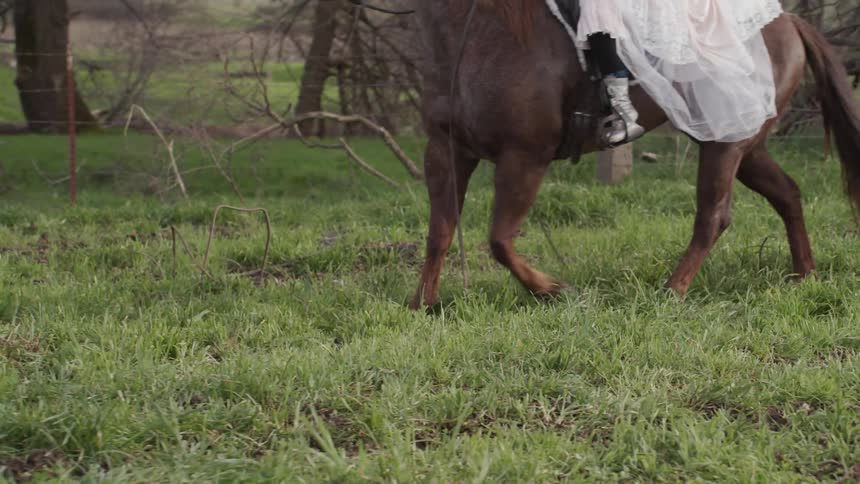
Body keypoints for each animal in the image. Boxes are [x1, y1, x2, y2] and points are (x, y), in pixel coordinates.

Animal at [408, 0, 860, 310]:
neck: (481, 31)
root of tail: (788, 21)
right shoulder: (446, 152)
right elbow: (440, 232)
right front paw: (422, 305)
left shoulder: (524, 157)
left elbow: (500, 240)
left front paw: (554, 290)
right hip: (746, 144)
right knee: (787, 194)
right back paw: (805, 275)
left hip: (726, 142)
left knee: (713, 216)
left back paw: (672, 292)